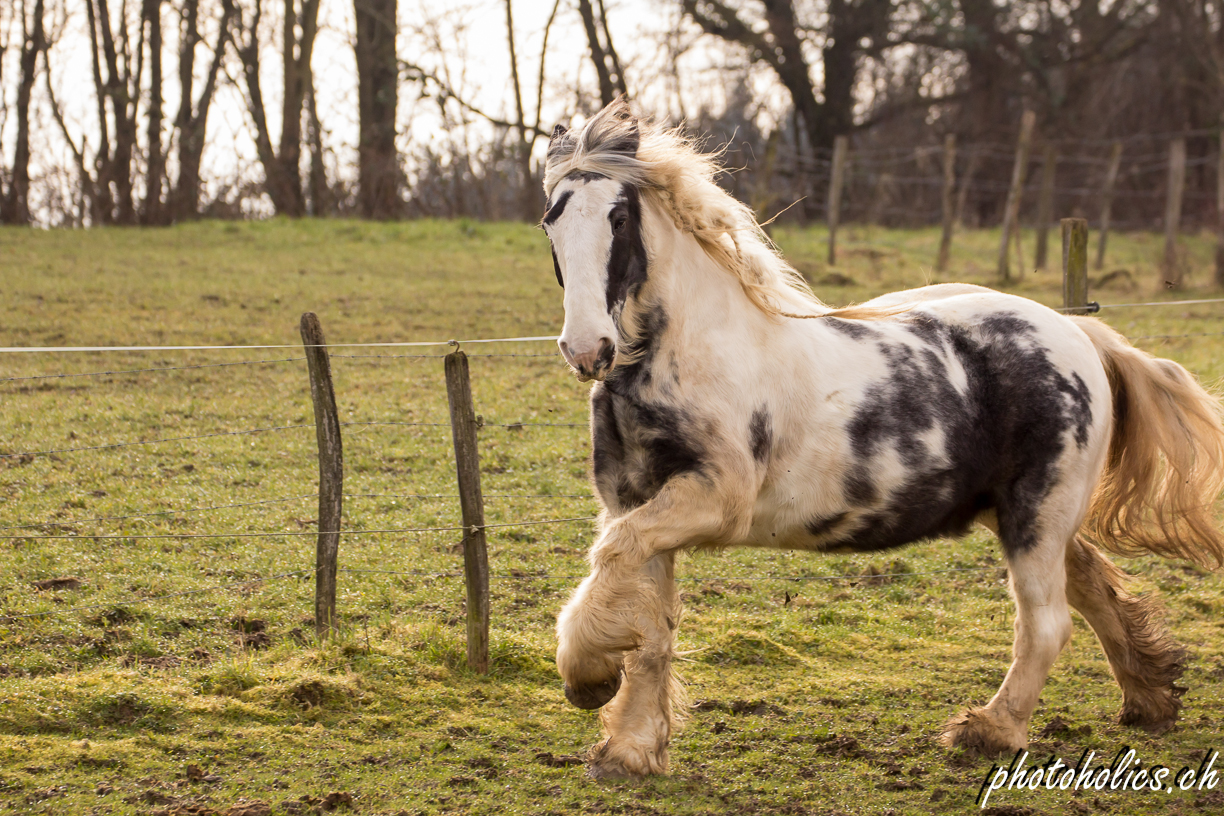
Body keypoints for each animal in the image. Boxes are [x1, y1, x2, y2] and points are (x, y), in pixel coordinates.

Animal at [541, 100, 1224, 778]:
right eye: (551, 220)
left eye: (619, 217)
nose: (587, 350)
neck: (696, 353)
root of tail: (1079, 334)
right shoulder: (637, 504)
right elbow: (650, 624)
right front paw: (631, 749)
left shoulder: (710, 501)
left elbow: (614, 562)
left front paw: (587, 676)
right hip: (1026, 513)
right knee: (1092, 587)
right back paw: (1150, 697)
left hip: (1038, 515)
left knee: (1048, 624)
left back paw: (991, 730)